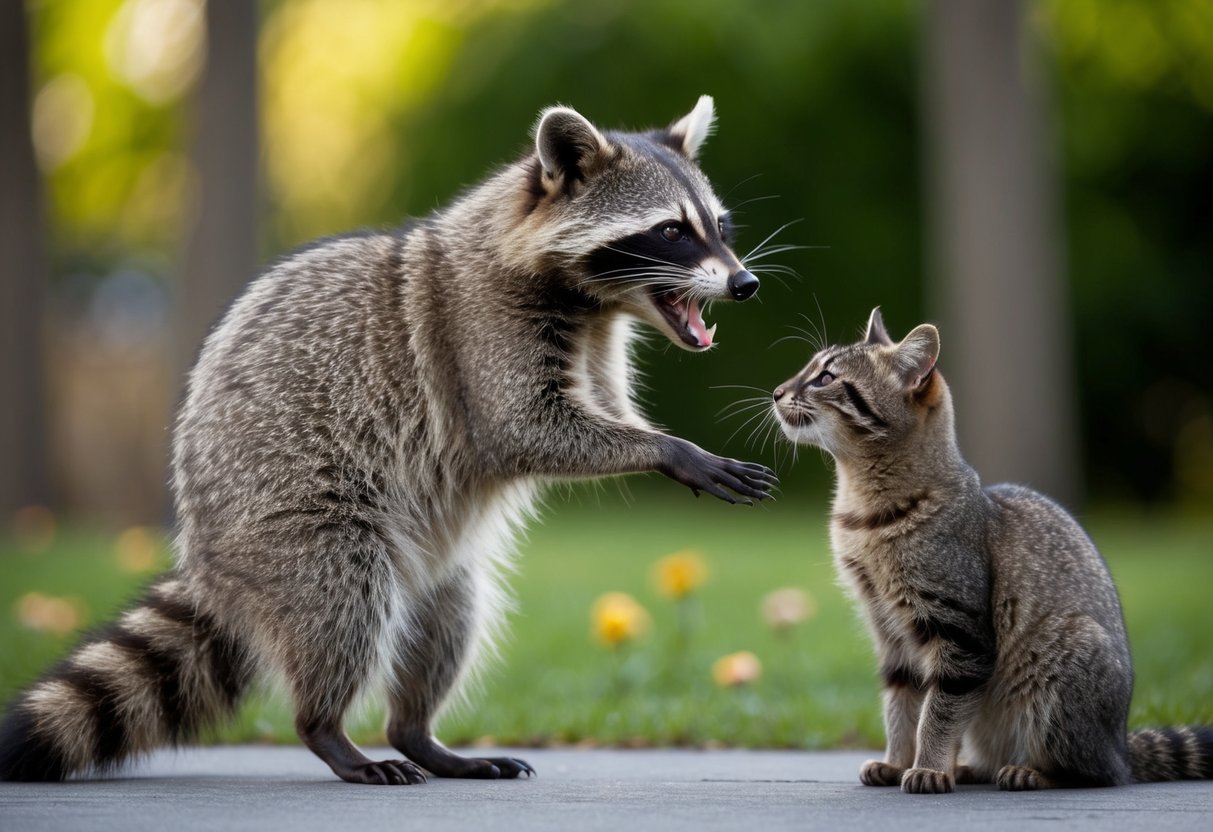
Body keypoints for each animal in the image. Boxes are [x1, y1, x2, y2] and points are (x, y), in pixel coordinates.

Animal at [0, 97, 776, 785]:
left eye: (719, 223)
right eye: (671, 231)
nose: (744, 282)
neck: (592, 302)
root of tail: (205, 555)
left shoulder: (596, 341)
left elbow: (602, 410)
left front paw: (652, 439)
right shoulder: (482, 325)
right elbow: (521, 428)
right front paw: (671, 452)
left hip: (435, 563)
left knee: (449, 618)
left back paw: (417, 732)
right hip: (291, 521)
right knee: (344, 603)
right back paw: (327, 730)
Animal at [771, 308, 1213, 792]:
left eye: (825, 377)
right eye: (810, 369)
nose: (777, 391)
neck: (862, 512)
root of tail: (1121, 747)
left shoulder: (959, 634)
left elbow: (938, 713)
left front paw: (927, 767)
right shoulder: (890, 633)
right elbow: (901, 707)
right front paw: (897, 761)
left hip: (1064, 666)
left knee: (1093, 773)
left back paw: (1028, 771)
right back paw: (966, 768)